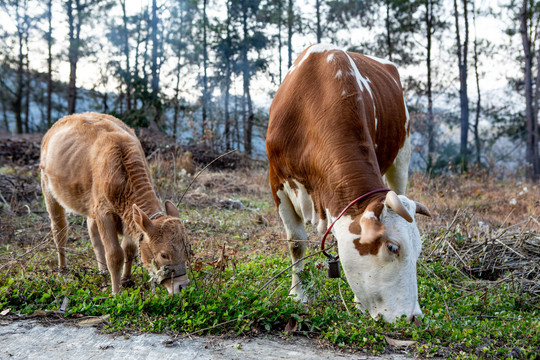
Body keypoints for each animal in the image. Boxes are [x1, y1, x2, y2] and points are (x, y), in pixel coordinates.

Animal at [39, 113, 190, 296]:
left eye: (187, 249)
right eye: (164, 255)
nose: (183, 286)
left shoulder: (128, 217)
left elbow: (129, 249)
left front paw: (126, 279)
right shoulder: (104, 213)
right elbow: (115, 255)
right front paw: (116, 292)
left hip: (91, 207)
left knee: (93, 234)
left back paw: (102, 271)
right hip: (49, 192)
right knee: (59, 231)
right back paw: (63, 271)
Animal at [266, 45, 430, 324]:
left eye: (418, 251)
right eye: (393, 247)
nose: (414, 317)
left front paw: (356, 301)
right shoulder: (277, 182)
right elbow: (296, 243)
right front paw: (297, 295)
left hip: (402, 155)